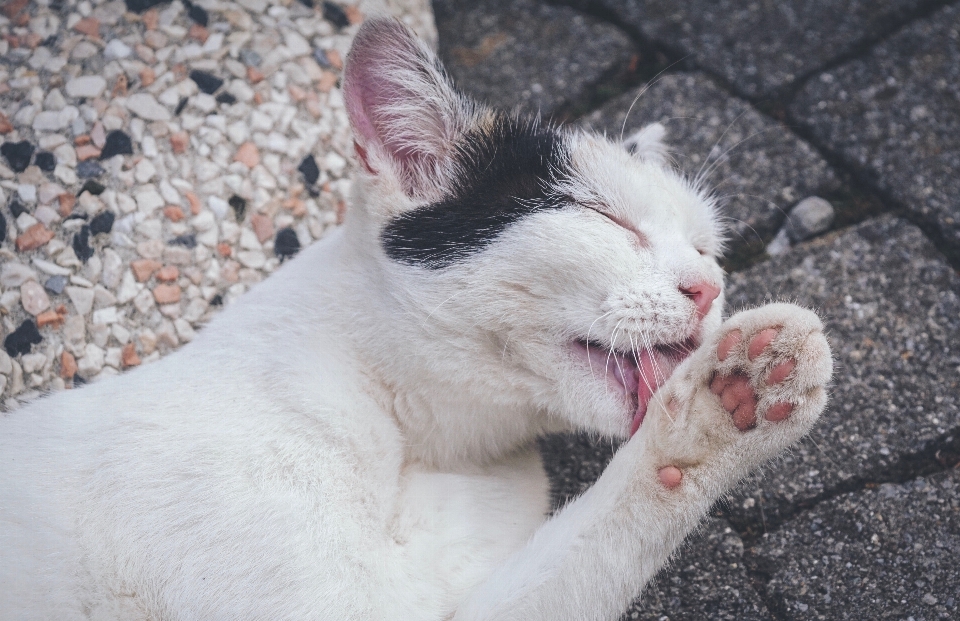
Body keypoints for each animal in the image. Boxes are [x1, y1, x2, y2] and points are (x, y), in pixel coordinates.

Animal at [0, 19, 832, 620]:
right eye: (604, 218)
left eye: (706, 247)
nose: (707, 286)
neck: (433, 444)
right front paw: (729, 391)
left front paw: (734, 404)